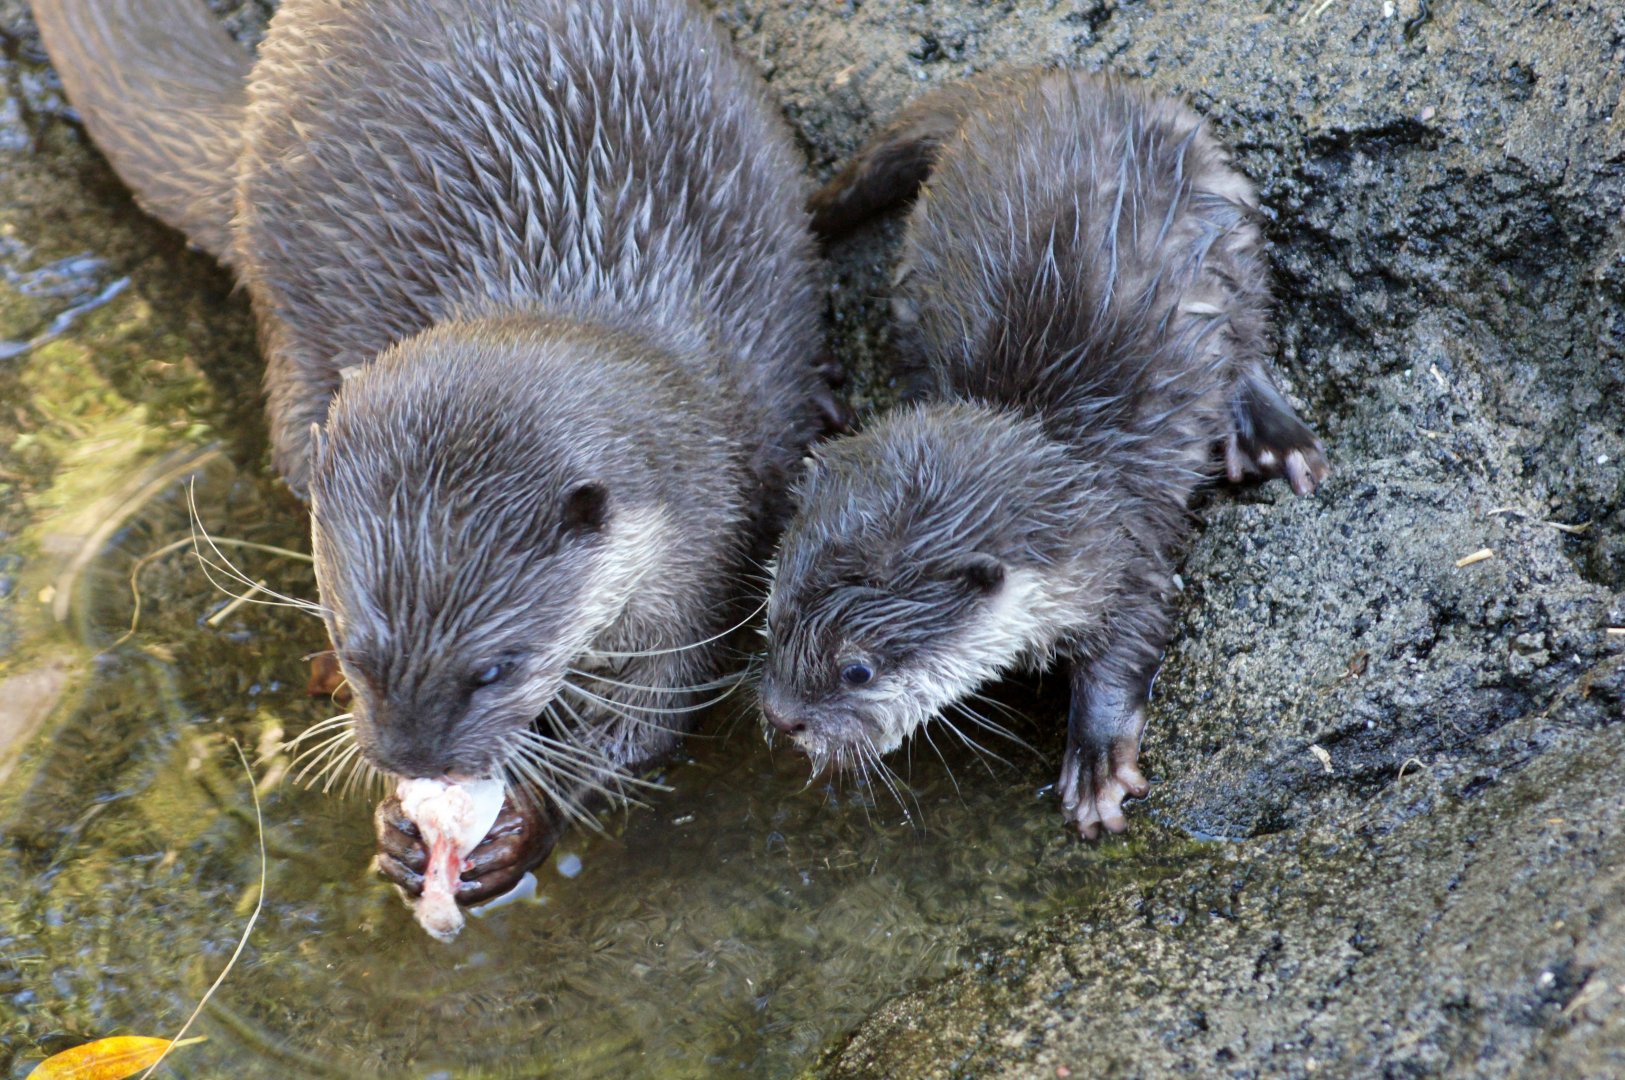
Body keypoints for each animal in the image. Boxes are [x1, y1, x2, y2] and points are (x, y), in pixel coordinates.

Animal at [34, 0, 829, 902]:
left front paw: (524, 821)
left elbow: (647, 723)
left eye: (496, 668)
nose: (413, 758)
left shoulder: (706, 553)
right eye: (358, 650)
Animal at [760, 70, 1329, 838]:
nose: (780, 717)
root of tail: (1057, 82)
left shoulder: (1124, 550)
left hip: (1227, 225)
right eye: (772, 618)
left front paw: (1095, 763)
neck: (1063, 451)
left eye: (858, 671)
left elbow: (1133, 634)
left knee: (1245, 337)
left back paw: (1275, 439)